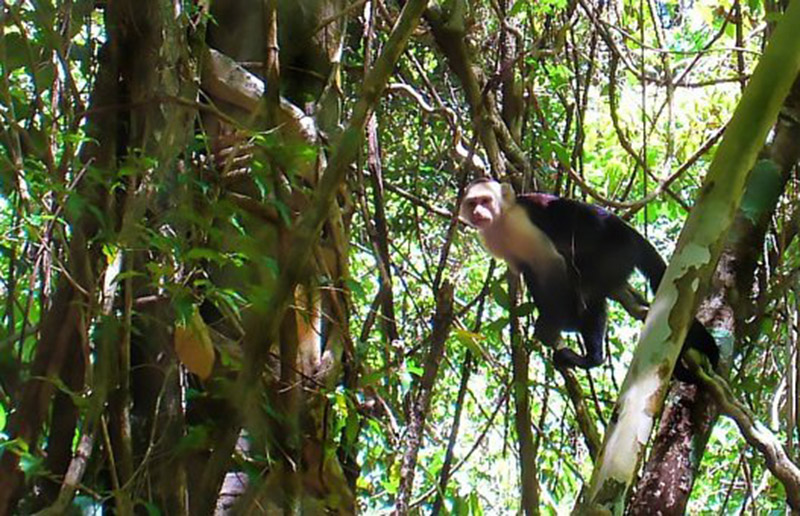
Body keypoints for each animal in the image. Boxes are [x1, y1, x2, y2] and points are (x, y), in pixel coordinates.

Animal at [460, 179, 720, 380]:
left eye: (486, 200)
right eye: (473, 203)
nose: (478, 213)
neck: (501, 221)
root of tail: (629, 231)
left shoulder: (521, 222)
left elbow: (551, 262)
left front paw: (552, 322)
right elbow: (529, 272)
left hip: (617, 250)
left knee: (587, 290)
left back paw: (592, 357)